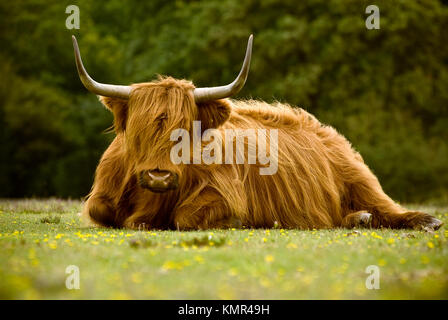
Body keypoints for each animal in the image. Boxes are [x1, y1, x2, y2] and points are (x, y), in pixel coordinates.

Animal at [72, 34, 442, 230]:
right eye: (138, 129)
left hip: (361, 179)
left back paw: (425, 220)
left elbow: (186, 216)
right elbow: (102, 211)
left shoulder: (224, 195)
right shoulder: (102, 195)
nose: (159, 176)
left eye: (187, 130)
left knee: (389, 208)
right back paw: (358, 218)